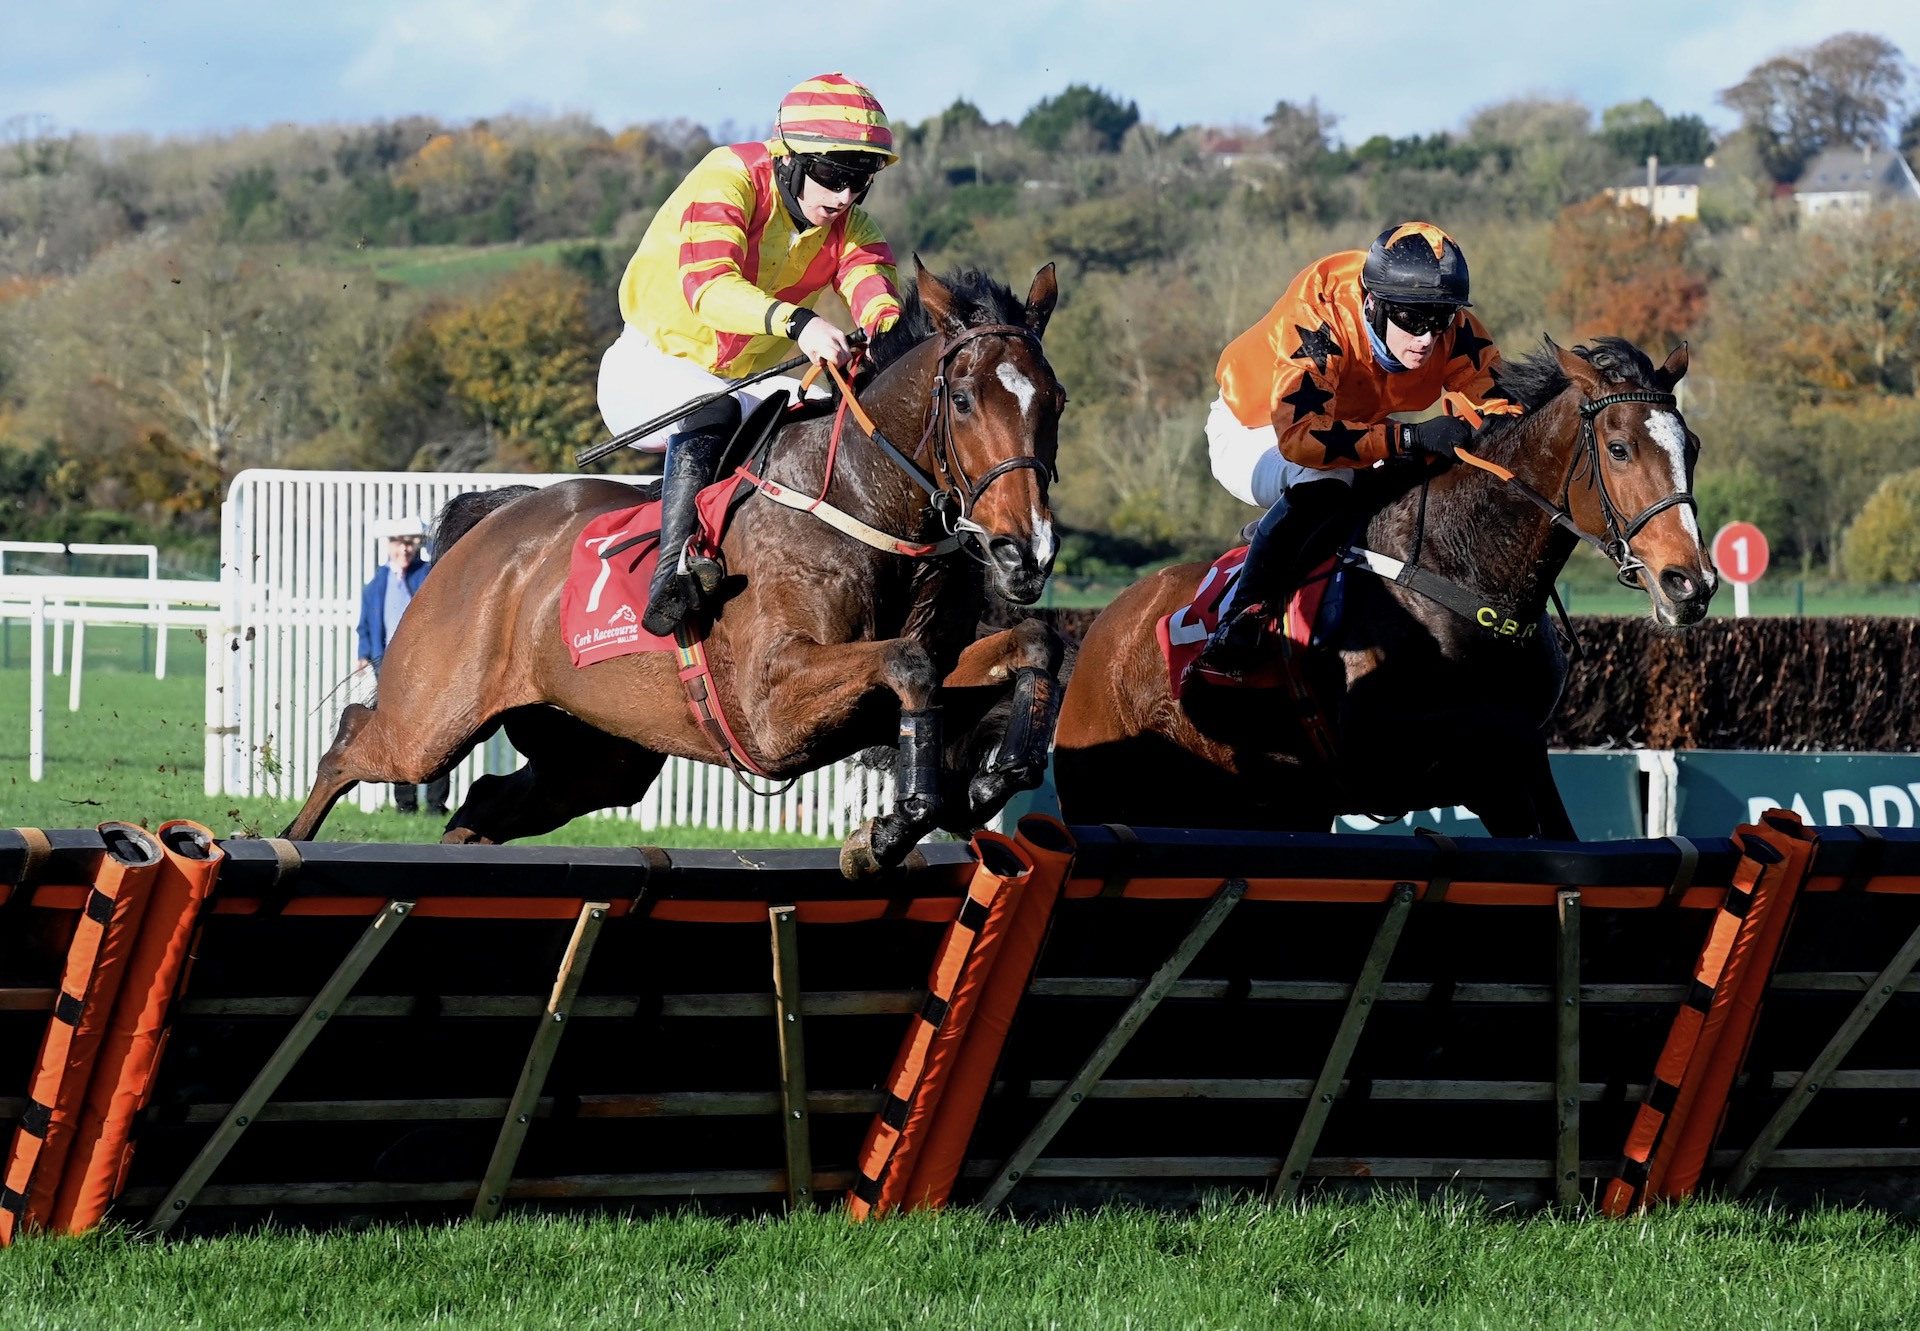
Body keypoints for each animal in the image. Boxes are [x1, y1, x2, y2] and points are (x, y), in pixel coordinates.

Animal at [280, 265, 1067, 875]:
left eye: (1054, 402)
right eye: (962, 400)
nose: (1025, 552)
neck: (855, 501)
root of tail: (491, 524)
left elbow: (1028, 646)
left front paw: (991, 779)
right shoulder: (772, 708)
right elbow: (910, 664)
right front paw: (901, 821)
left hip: (594, 757)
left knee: (481, 804)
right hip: (432, 718)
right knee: (352, 740)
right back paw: (289, 842)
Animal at [1059, 338, 1720, 837]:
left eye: (1691, 447)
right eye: (1619, 448)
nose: (1690, 583)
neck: (1455, 569)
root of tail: (1100, 633)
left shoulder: (1503, 779)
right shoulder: (1386, 749)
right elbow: (1500, 730)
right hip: (1106, 793)